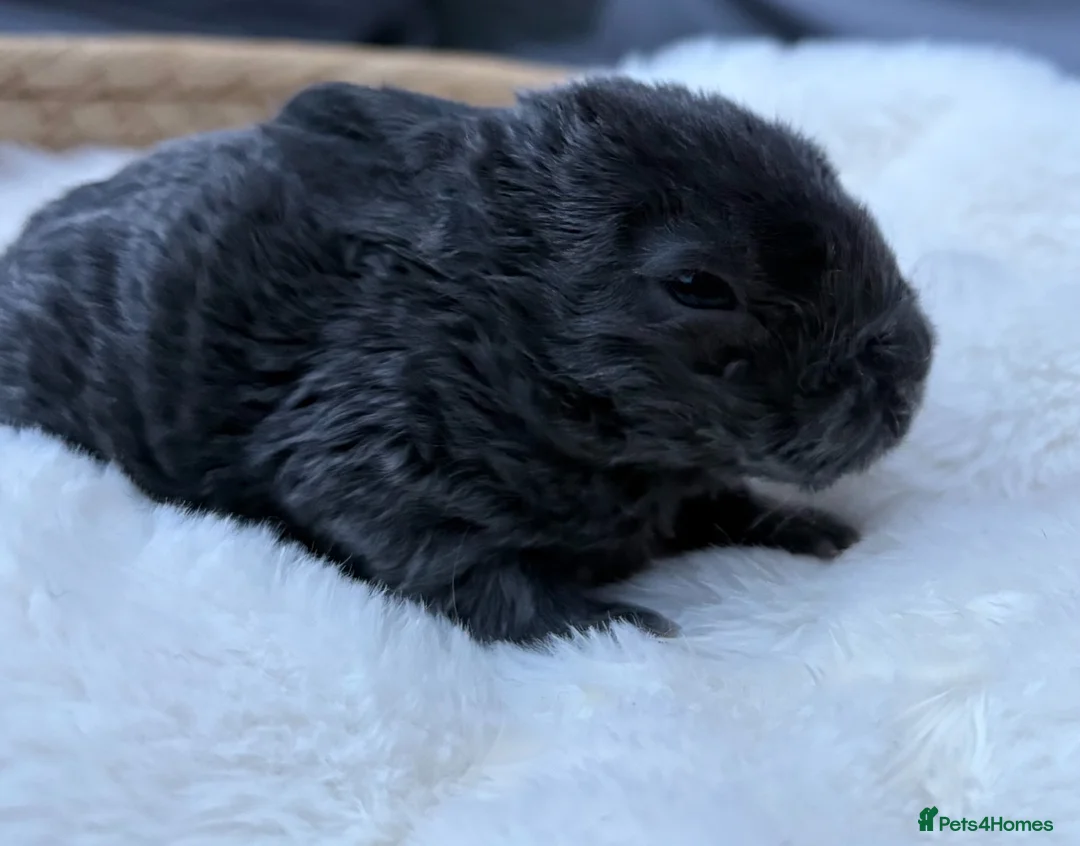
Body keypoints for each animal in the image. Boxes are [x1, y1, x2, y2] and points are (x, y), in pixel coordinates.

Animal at [0, 77, 935, 644]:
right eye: (698, 286)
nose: (912, 369)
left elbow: (718, 500)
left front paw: (810, 529)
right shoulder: (363, 458)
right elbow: (483, 576)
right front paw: (626, 626)